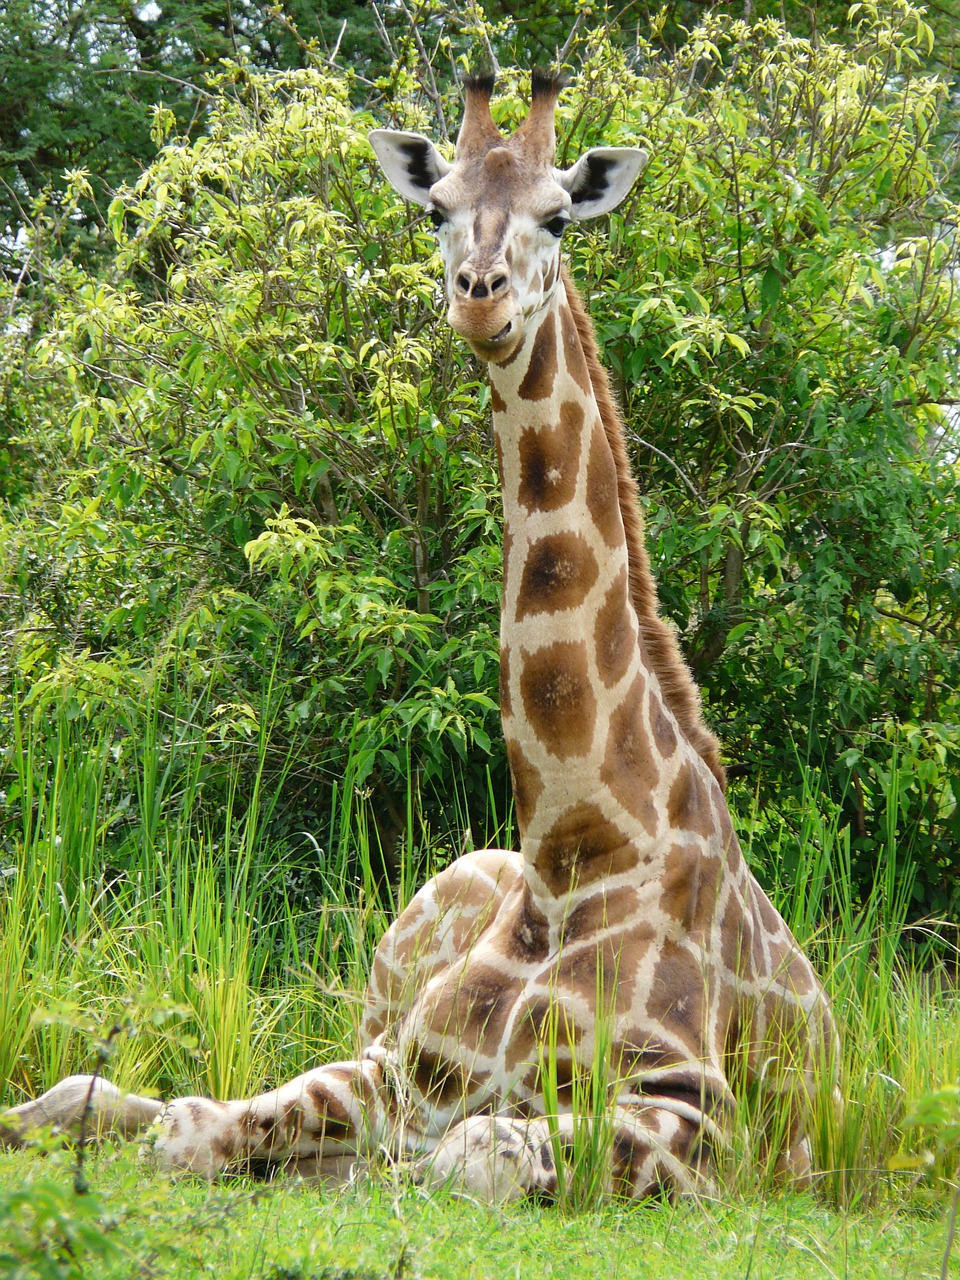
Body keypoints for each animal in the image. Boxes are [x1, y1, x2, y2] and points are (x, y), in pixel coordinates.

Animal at [0, 74, 839, 1203]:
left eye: (559, 216)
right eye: (437, 208)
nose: (481, 297)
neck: (576, 842)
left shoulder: (701, 1114)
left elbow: (466, 1154)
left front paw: (357, 1169)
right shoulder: (402, 1065)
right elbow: (188, 1121)